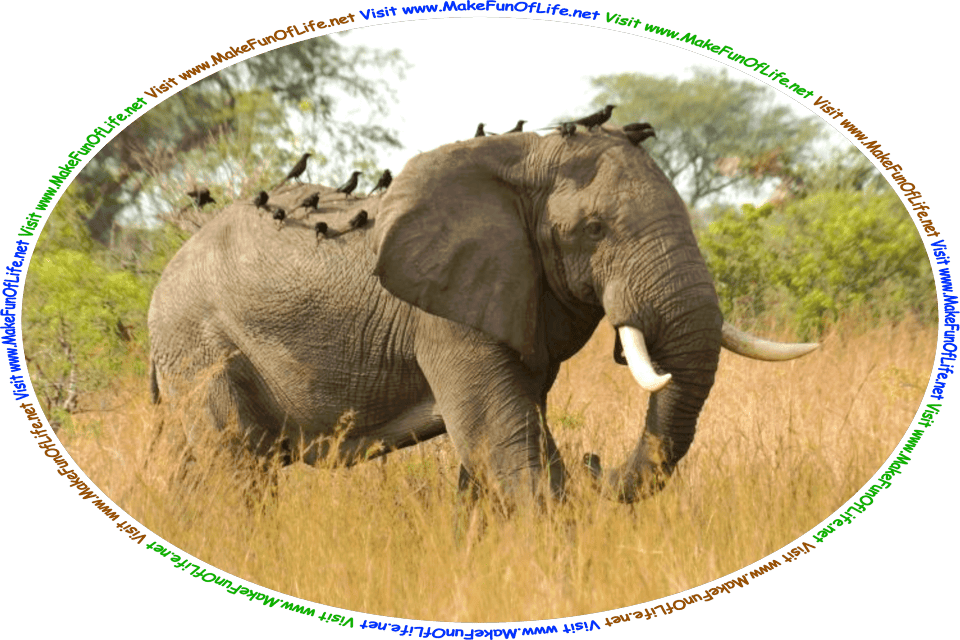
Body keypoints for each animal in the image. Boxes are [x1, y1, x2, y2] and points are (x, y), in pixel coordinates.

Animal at [147, 124, 818, 506]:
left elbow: (505, 439)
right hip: (199, 345)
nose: (596, 462)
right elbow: (501, 437)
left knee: (192, 465)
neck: (521, 160)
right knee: (236, 465)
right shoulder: (443, 312)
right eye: (593, 230)